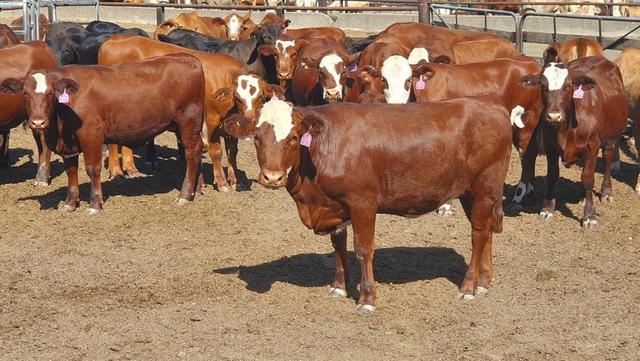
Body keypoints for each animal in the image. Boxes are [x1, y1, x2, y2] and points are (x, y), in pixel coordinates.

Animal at [99, 34, 246, 191]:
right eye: (237, 97)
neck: (226, 76)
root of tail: (115, 39)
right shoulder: (211, 122)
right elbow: (217, 151)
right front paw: (222, 183)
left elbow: (232, 152)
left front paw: (235, 181)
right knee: (113, 145)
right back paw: (116, 172)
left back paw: (131, 169)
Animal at [222, 97, 512, 314]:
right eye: (257, 137)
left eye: (293, 137)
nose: (272, 177)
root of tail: (493, 106)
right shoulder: (336, 207)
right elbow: (338, 245)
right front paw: (339, 287)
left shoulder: (363, 202)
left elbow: (363, 250)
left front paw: (367, 299)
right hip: (470, 193)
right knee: (486, 231)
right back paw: (484, 282)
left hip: (484, 186)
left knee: (478, 235)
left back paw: (468, 287)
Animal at [516, 54, 628, 226]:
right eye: (543, 85)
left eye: (569, 86)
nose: (554, 116)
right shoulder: (550, 147)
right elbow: (552, 176)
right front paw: (547, 209)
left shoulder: (592, 145)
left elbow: (588, 178)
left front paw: (589, 216)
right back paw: (583, 197)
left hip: (611, 138)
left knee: (608, 159)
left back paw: (606, 192)